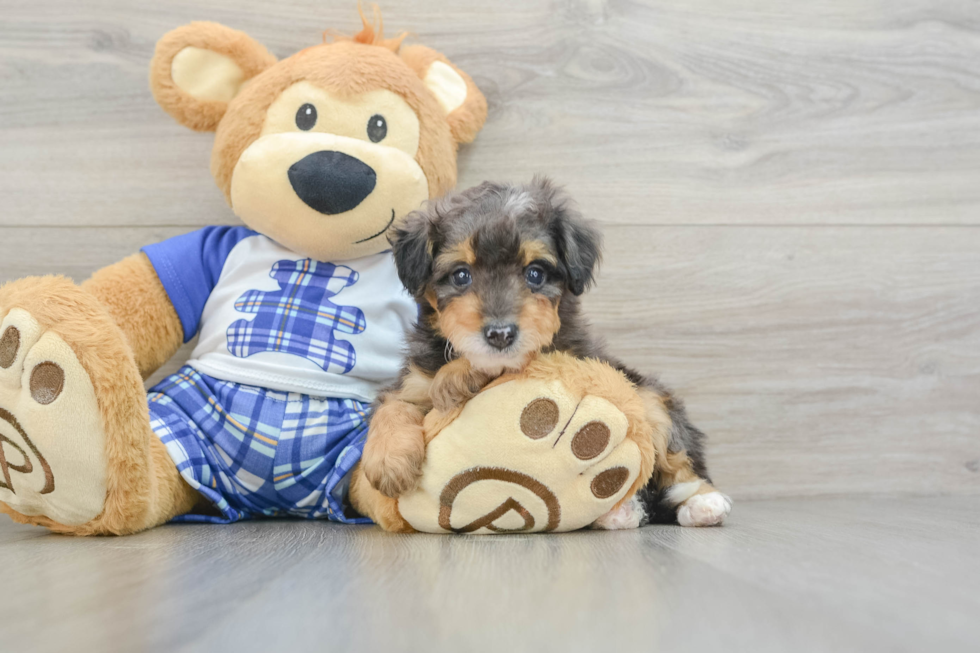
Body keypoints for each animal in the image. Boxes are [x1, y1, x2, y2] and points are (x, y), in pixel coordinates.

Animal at [356, 176, 732, 528]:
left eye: (534, 273)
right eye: (461, 275)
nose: (500, 334)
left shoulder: (562, 356)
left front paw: (455, 378)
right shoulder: (413, 382)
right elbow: (392, 407)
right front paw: (387, 463)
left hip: (649, 397)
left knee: (679, 460)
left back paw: (701, 504)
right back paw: (619, 513)